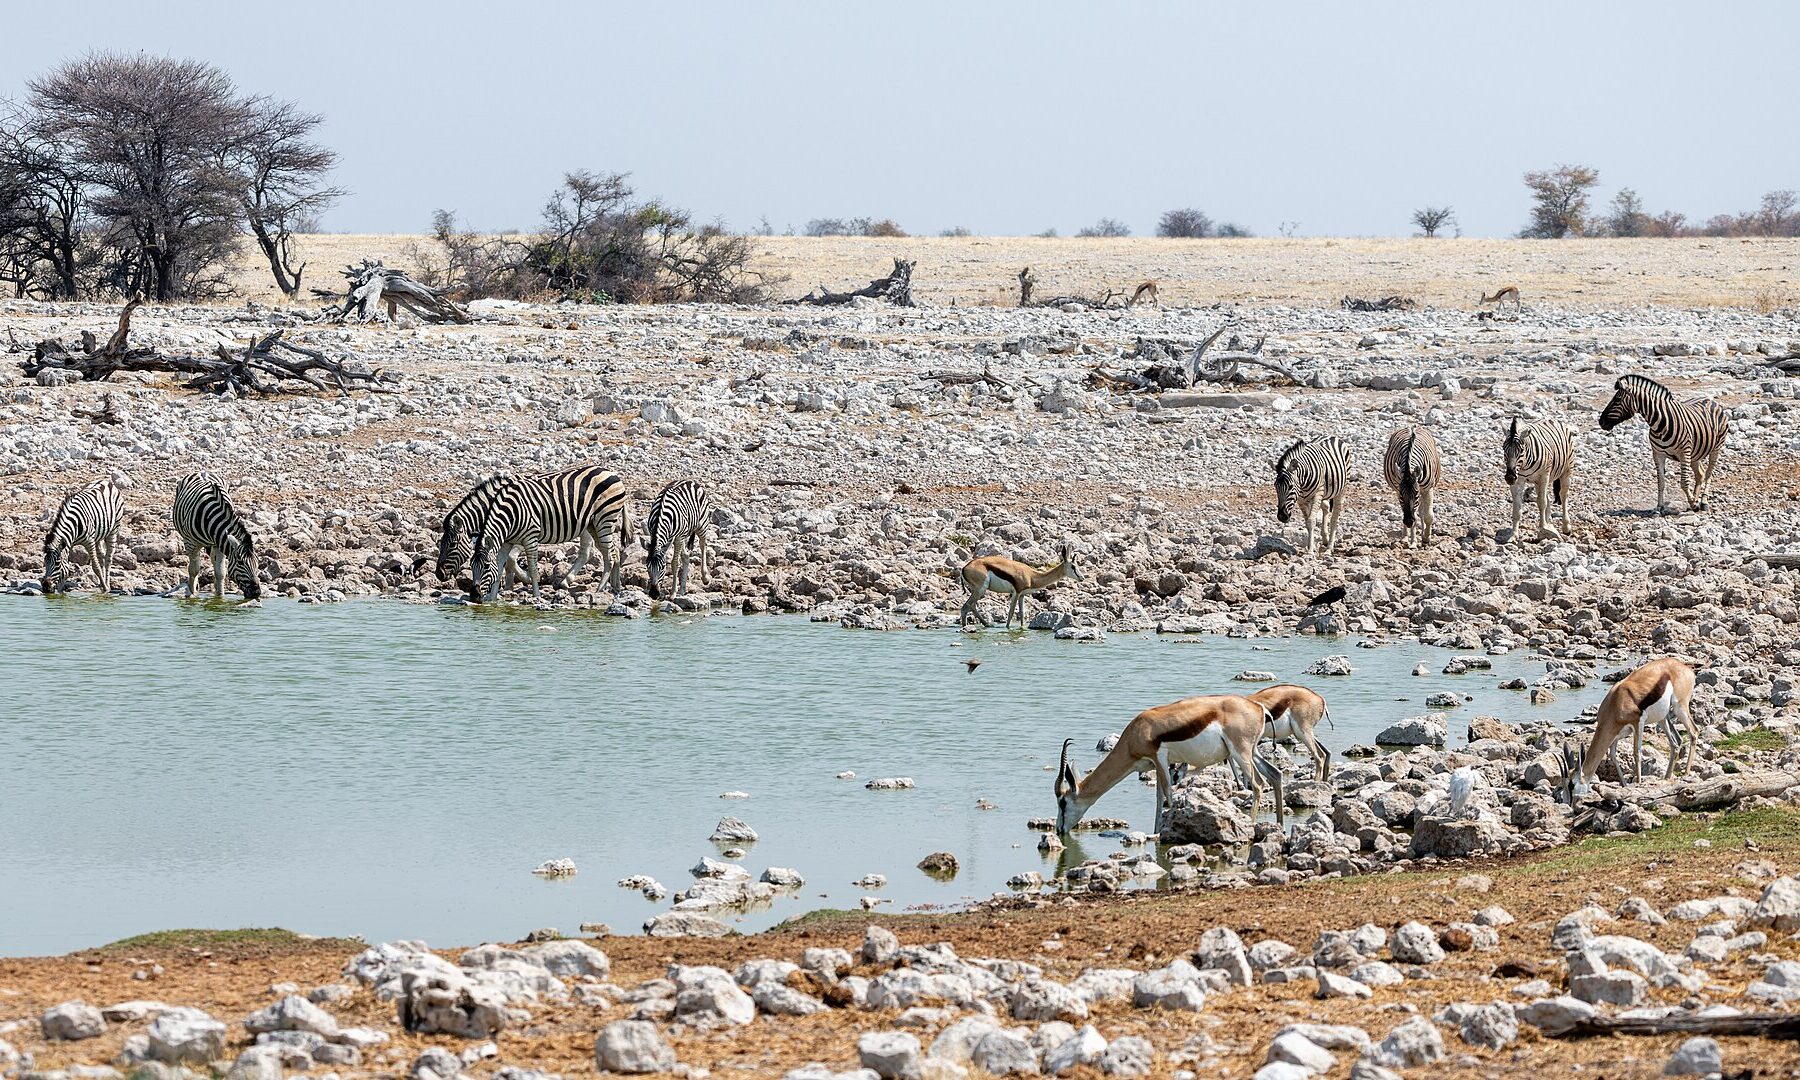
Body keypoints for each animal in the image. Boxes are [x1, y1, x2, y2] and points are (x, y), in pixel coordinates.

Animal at [173, 471, 262, 599]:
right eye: (240, 562)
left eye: (258, 563)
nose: (256, 593)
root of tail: (202, 471)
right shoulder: (191, 543)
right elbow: (194, 570)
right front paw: (192, 594)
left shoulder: (220, 543)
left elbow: (220, 573)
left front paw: (219, 597)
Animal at [468, 464, 631, 603]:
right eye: (471, 566)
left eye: (486, 567)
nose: (474, 597)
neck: (511, 514)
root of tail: (611, 473)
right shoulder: (507, 542)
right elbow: (500, 566)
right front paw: (492, 599)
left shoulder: (530, 538)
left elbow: (533, 568)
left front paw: (536, 596)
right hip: (593, 525)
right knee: (614, 552)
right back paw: (615, 587)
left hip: (605, 520)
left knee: (609, 556)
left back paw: (599, 590)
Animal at [1598, 374, 1728, 514]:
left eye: (1617, 400)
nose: (1601, 422)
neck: (1660, 425)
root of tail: (1710, 400)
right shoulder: (1658, 454)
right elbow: (1661, 482)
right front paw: (1660, 507)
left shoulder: (1684, 453)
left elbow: (1684, 482)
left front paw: (1694, 504)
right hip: (1695, 453)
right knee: (1700, 474)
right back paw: (1694, 500)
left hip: (1715, 448)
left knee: (1708, 474)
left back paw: (1703, 502)